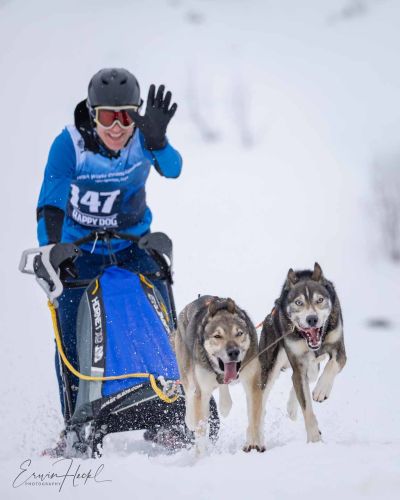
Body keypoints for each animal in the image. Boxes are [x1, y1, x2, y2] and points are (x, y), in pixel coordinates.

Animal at [174, 295, 265, 453]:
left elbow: (254, 417)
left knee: (223, 390)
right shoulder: (202, 392)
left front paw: (253, 444)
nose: (234, 352)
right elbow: (200, 429)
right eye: (217, 336)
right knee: (190, 397)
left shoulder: (252, 381)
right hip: (187, 377)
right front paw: (202, 456)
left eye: (239, 333)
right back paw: (190, 419)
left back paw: (225, 404)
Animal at [259, 263, 346, 443]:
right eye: (298, 302)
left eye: (319, 300)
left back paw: (292, 407)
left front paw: (321, 390)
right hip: (270, 367)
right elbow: (306, 407)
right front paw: (314, 440)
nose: (312, 319)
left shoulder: (340, 350)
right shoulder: (298, 364)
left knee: (308, 376)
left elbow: (332, 365)